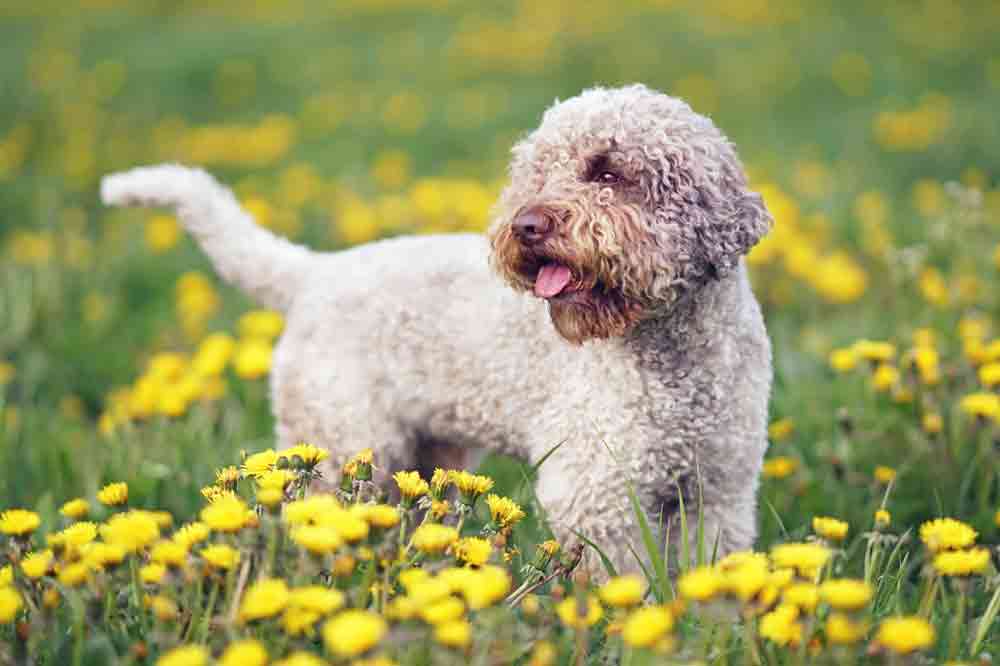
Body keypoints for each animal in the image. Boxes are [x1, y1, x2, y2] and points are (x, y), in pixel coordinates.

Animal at [103, 83, 772, 572]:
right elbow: (626, 583)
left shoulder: (720, 492)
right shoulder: (598, 491)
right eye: (535, 172)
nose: (525, 226)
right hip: (344, 449)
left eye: (607, 171)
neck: (676, 361)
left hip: (424, 463)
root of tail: (314, 273)